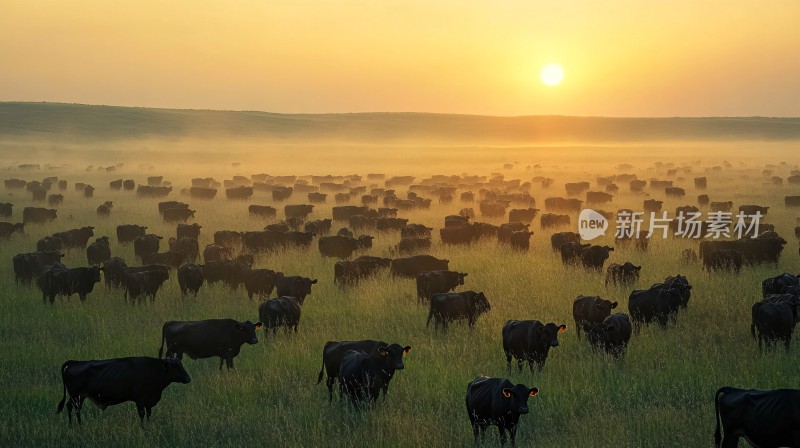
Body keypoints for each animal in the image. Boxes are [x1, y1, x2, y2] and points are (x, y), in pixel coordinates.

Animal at [55, 356, 191, 426]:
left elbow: (148, 414)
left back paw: (73, 426)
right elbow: (142, 415)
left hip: (79, 397)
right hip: (76, 396)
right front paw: (143, 429)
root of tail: (74, 362)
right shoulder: (140, 401)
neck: (153, 370)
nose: (188, 378)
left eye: (181, 364)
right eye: (175, 366)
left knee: (70, 407)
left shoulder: (148, 402)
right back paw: (79, 425)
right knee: (75, 409)